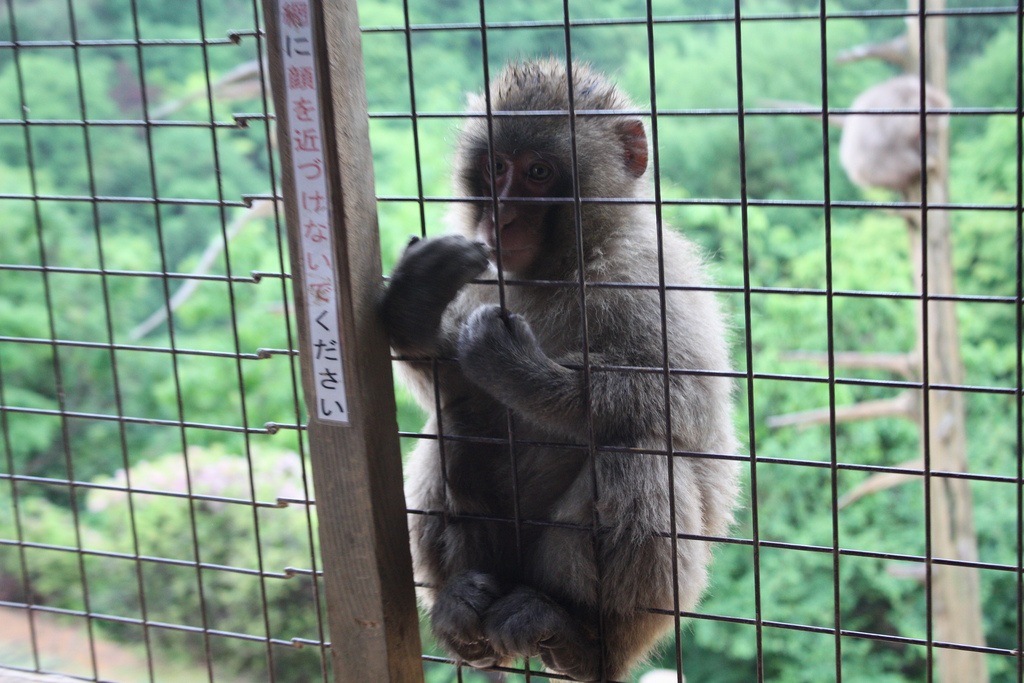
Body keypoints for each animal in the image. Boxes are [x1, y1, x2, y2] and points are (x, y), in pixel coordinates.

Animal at [380, 60, 741, 683]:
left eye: (539, 173)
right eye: (497, 167)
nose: (500, 216)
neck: (560, 263)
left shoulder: (645, 275)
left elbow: (681, 405)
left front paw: (520, 371)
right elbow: (452, 391)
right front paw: (416, 308)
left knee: (634, 453)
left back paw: (581, 637)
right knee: (458, 424)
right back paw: (460, 608)